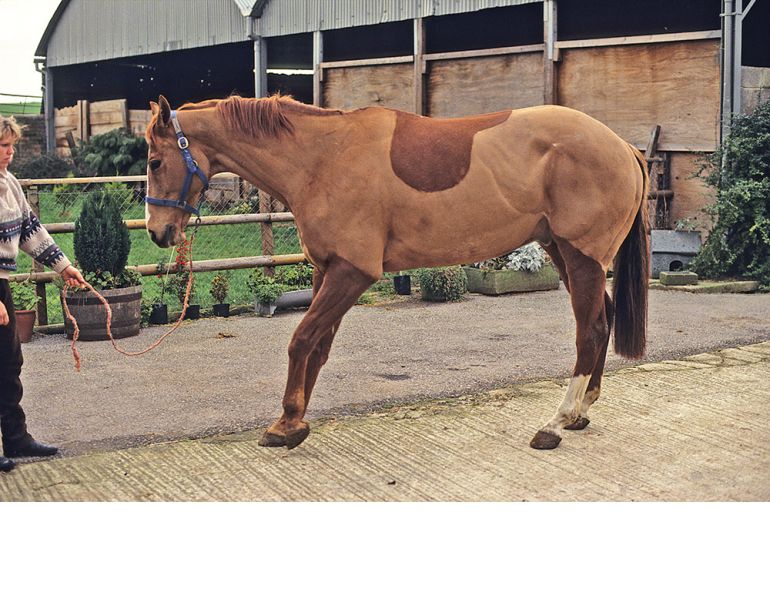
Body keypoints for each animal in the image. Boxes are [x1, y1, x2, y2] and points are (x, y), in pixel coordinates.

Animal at [144, 94, 649, 451]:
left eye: (153, 161)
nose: (157, 232)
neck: (322, 157)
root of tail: (623, 147)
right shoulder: (326, 270)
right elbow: (317, 347)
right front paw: (295, 419)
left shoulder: (352, 272)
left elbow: (301, 340)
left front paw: (286, 424)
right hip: (562, 252)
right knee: (600, 319)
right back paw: (581, 412)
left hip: (581, 257)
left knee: (590, 330)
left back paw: (556, 423)